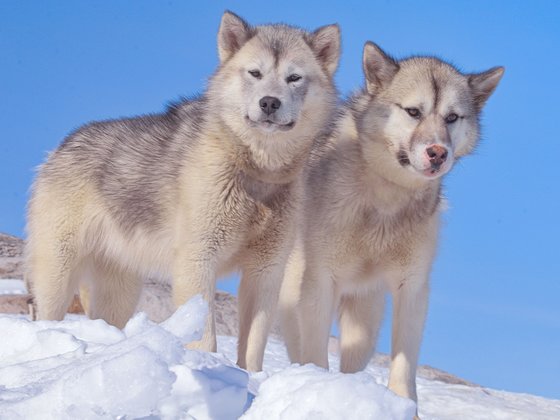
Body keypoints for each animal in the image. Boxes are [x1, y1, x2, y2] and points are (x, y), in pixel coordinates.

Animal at [26, 10, 340, 370]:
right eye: (255, 73)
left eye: (294, 78)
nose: (269, 103)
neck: (256, 171)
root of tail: (61, 147)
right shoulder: (198, 259)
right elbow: (205, 336)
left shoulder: (266, 271)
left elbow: (253, 347)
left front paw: (250, 377)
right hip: (57, 274)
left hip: (120, 292)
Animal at [280, 42, 504, 404]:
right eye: (413, 112)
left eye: (452, 117)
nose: (438, 152)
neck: (386, 199)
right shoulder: (319, 281)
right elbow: (315, 354)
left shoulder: (412, 288)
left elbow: (404, 367)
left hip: (365, 325)